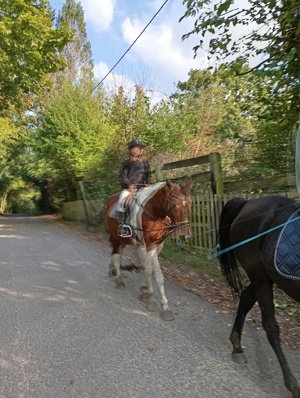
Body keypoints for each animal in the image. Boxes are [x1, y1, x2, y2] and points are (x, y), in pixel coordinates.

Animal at [104, 180, 193, 320]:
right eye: (175, 205)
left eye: (190, 203)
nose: (186, 236)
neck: (155, 213)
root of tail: (109, 200)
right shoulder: (142, 245)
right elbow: (150, 269)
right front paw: (150, 299)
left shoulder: (156, 245)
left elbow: (153, 271)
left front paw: (155, 299)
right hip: (115, 237)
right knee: (116, 255)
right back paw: (119, 281)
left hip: (123, 240)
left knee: (117, 254)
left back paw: (112, 271)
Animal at [218, 197, 300, 398]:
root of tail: (248, 203)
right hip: (259, 275)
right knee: (270, 326)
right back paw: (292, 383)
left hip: (265, 277)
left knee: (246, 299)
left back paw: (237, 346)